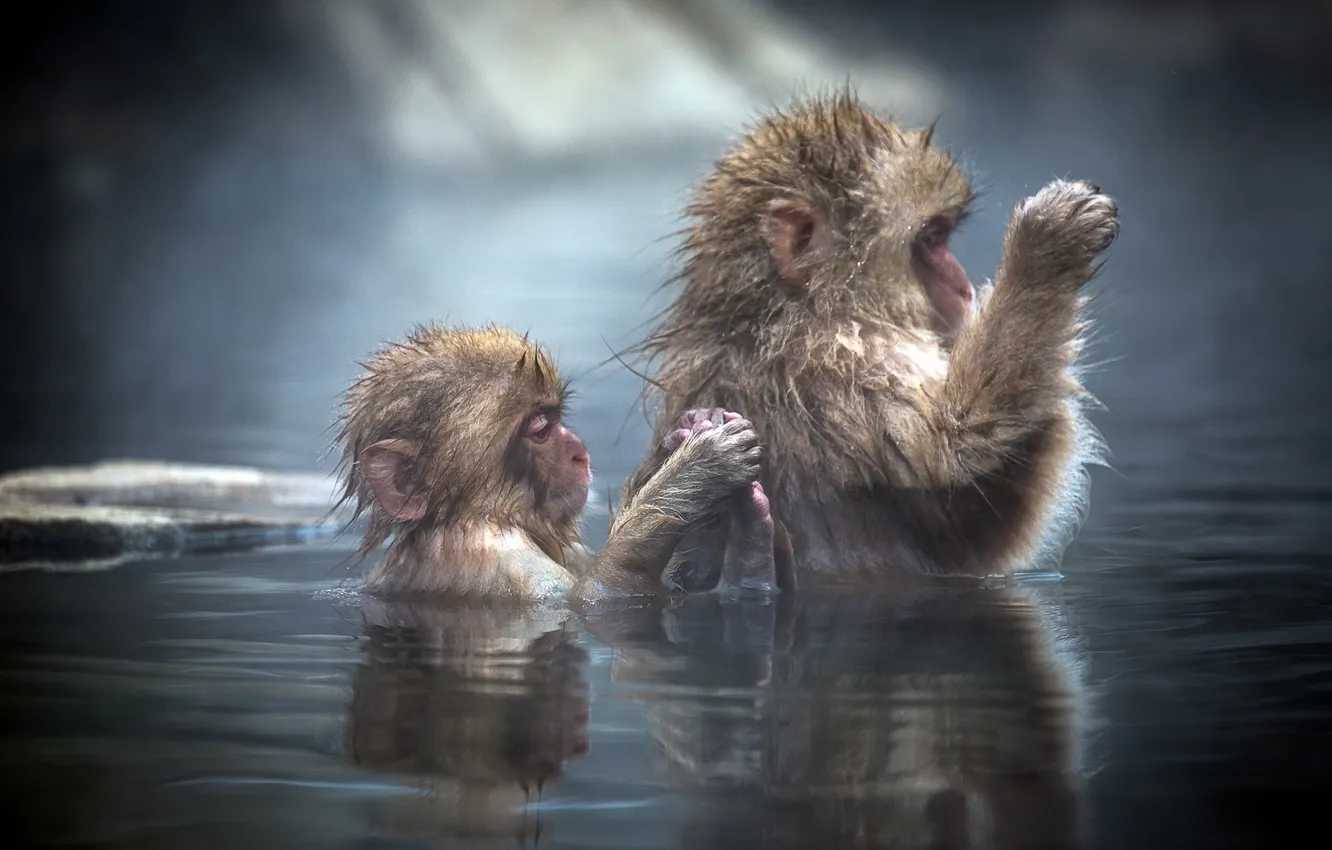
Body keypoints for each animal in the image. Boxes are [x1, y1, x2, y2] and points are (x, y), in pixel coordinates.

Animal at [333, 323, 768, 604]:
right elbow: (594, 598)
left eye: (556, 418)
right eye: (541, 429)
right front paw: (698, 470)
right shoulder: (495, 556)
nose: (579, 450)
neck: (473, 514)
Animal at [623, 89, 1120, 583]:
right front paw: (1045, 249)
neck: (771, 317)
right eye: (932, 238)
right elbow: (961, 456)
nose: (962, 289)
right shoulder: (844, 367)